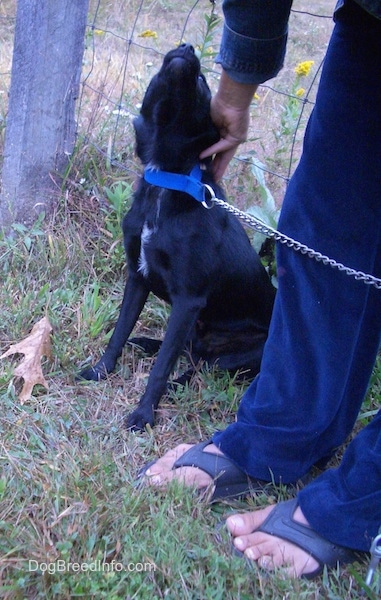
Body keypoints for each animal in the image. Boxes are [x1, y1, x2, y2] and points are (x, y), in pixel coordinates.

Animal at [78, 44, 274, 428]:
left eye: (202, 83)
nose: (186, 48)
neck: (167, 180)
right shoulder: (137, 276)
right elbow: (118, 333)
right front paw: (100, 371)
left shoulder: (188, 299)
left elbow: (161, 368)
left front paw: (142, 414)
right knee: (187, 351)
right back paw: (144, 343)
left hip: (239, 350)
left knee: (198, 366)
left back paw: (175, 385)